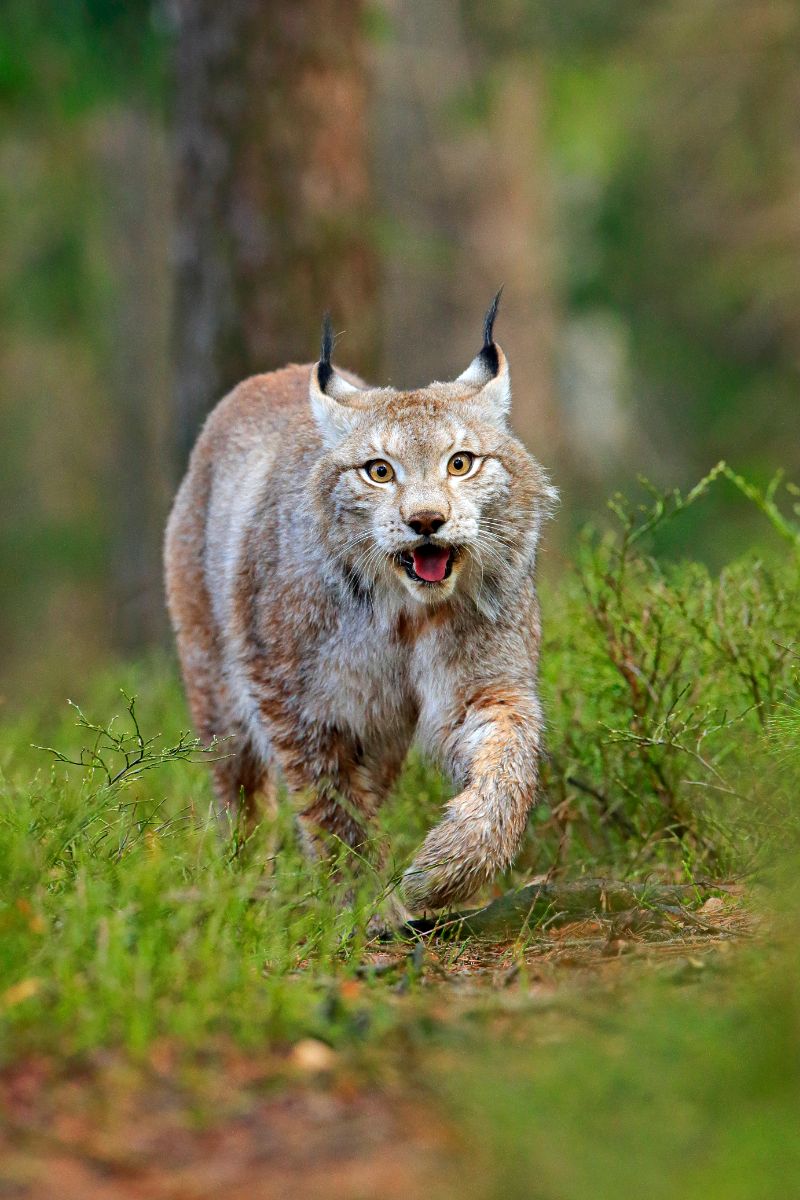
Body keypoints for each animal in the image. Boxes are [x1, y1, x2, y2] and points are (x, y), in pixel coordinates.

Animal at [165, 295, 556, 912]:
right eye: (379, 472)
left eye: (460, 462)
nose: (426, 521)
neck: (405, 612)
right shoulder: (296, 700)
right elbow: (331, 805)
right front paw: (358, 901)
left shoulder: (485, 685)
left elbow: (507, 770)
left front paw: (446, 868)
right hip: (216, 682)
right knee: (239, 791)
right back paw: (242, 880)